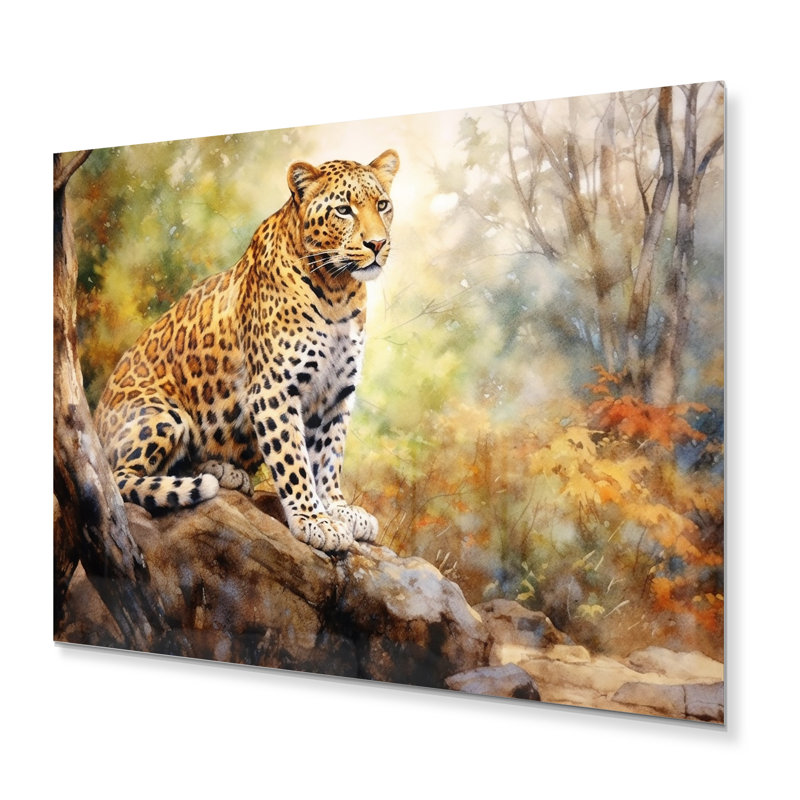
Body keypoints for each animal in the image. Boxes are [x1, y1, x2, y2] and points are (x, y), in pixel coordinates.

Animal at [93, 149, 400, 553]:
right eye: (344, 210)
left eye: (382, 205)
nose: (377, 244)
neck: (339, 290)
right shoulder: (274, 389)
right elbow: (293, 459)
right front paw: (314, 520)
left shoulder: (336, 393)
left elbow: (329, 456)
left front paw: (339, 509)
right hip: (163, 415)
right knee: (119, 479)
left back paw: (222, 470)